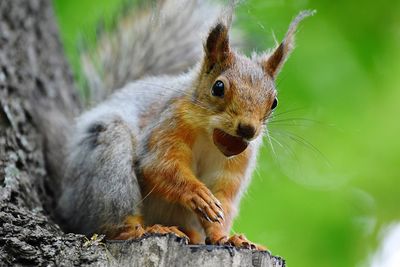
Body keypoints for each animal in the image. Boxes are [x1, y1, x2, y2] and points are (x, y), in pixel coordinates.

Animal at [56, 0, 314, 251]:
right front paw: (197, 194)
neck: (209, 135)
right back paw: (144, 230)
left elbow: (223, 199)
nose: (248, 129)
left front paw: (226, 237)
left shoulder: (235, 164)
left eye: (274, 102)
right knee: (114, 222)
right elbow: (159, 166)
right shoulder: (168, 123)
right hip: (106, 167)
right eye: (218, 87)